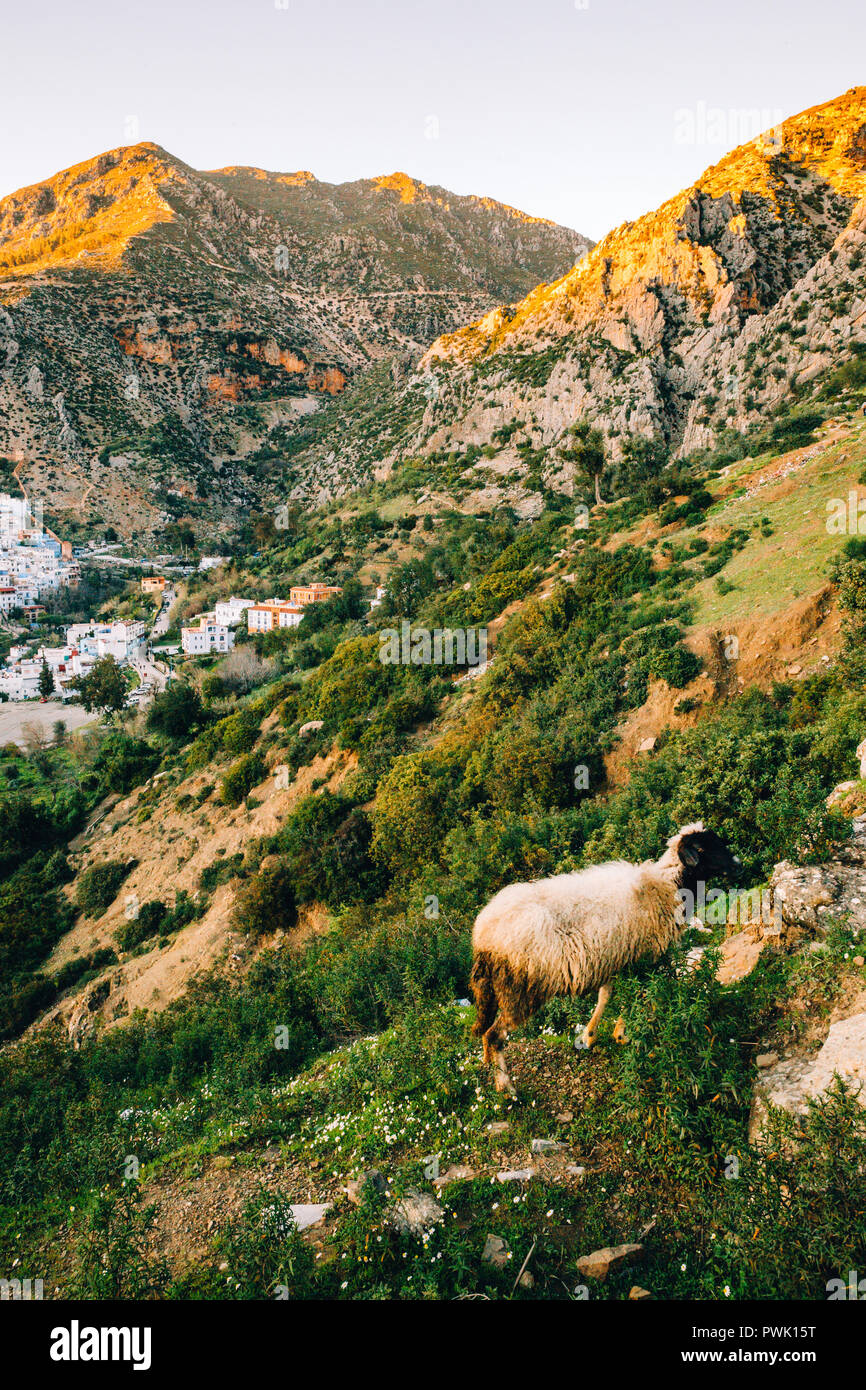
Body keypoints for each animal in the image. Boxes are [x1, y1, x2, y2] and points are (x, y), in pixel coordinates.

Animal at [469, 822, 739, 1095]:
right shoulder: (645, 957)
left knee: (485, 1032)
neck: (667, 886)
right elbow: (639, 995)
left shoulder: (615, 958)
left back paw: (488, 1062)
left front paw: (591, 1036)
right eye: (701, 848)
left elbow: (606, 996)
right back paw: (506, 1087)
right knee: (495, 1035)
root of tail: (483, 934)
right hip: (521, 991)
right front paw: (625, 1033)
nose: (737, 866)